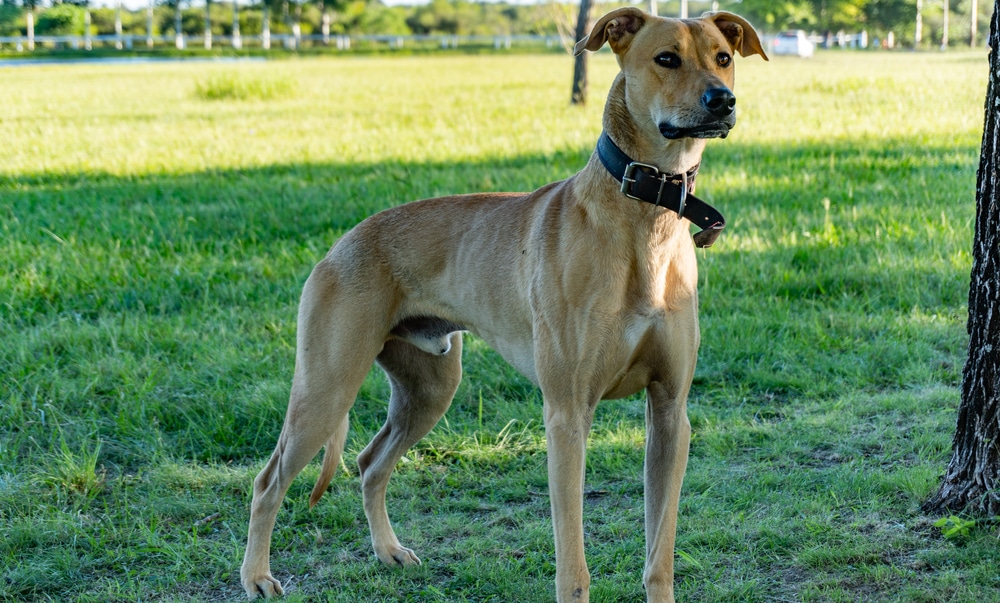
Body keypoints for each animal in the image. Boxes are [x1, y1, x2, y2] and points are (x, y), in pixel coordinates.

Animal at [240, 9, 764, 603]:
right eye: (666, 58)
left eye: (723, 57)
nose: (722, 100)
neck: (643, 216)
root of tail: (341, 244)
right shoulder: (567, 417)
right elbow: (574, 568)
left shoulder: (671, 413)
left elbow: (659, 555)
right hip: (325, 391)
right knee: (269, 481)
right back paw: (256, 576)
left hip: (428, 390)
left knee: (371, 463)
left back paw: (388, 551)